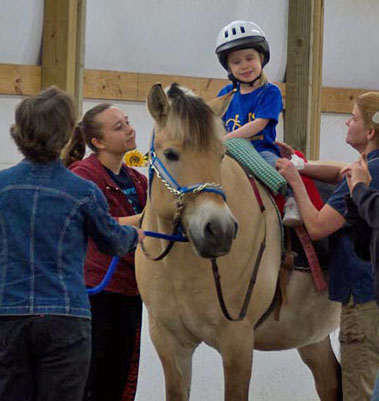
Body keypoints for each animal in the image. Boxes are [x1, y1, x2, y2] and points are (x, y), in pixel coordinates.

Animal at [135, 83, 342, 398]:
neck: (180, 267)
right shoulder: (170, 343)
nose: (219, 230)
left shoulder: (237, 342)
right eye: (170, 154)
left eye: (220, 155)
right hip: (312, 337)